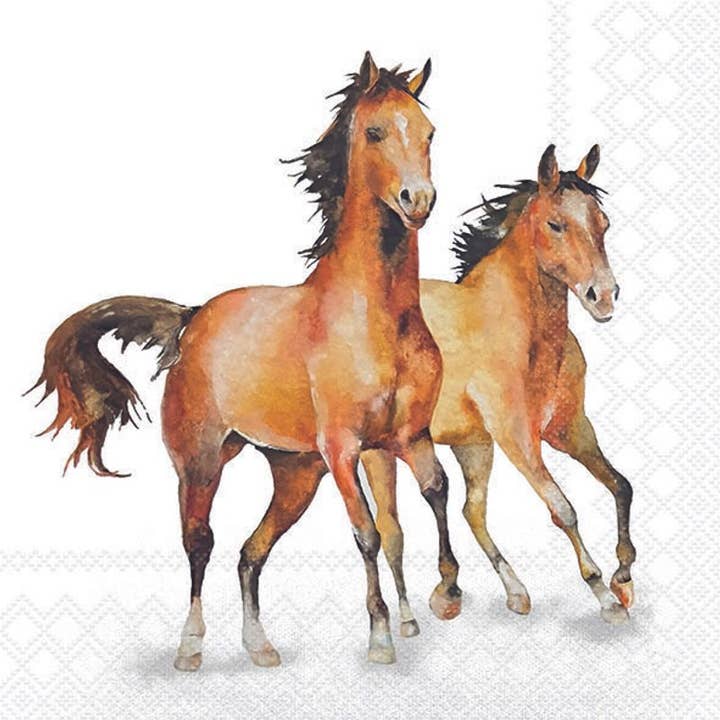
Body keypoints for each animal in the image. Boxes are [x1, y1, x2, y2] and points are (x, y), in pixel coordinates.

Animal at [28, 53, 462, 669]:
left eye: (429, 133)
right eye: (376, 132)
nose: (417, 201)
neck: (377, 317)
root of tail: (192, 319)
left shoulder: (405, 437)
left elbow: (434, 494)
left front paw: (443, 596)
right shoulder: (342, 448)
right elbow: (369, 533)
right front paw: (381, 636)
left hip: (295, 475)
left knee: (250, 551)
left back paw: (259, 645)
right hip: (202, 463)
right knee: (200, 543)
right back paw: (190, 646)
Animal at [361, 144, 635, 628]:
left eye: (604, 222)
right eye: (555, 224)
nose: (603, 296)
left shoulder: (570, 430)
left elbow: (621, 486)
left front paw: (624, 576)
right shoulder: (518, 437)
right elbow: (563, 509)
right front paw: (604, 594)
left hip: (472, 445)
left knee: (471, 510)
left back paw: (504, 591)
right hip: (384, 451)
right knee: (391, 525)